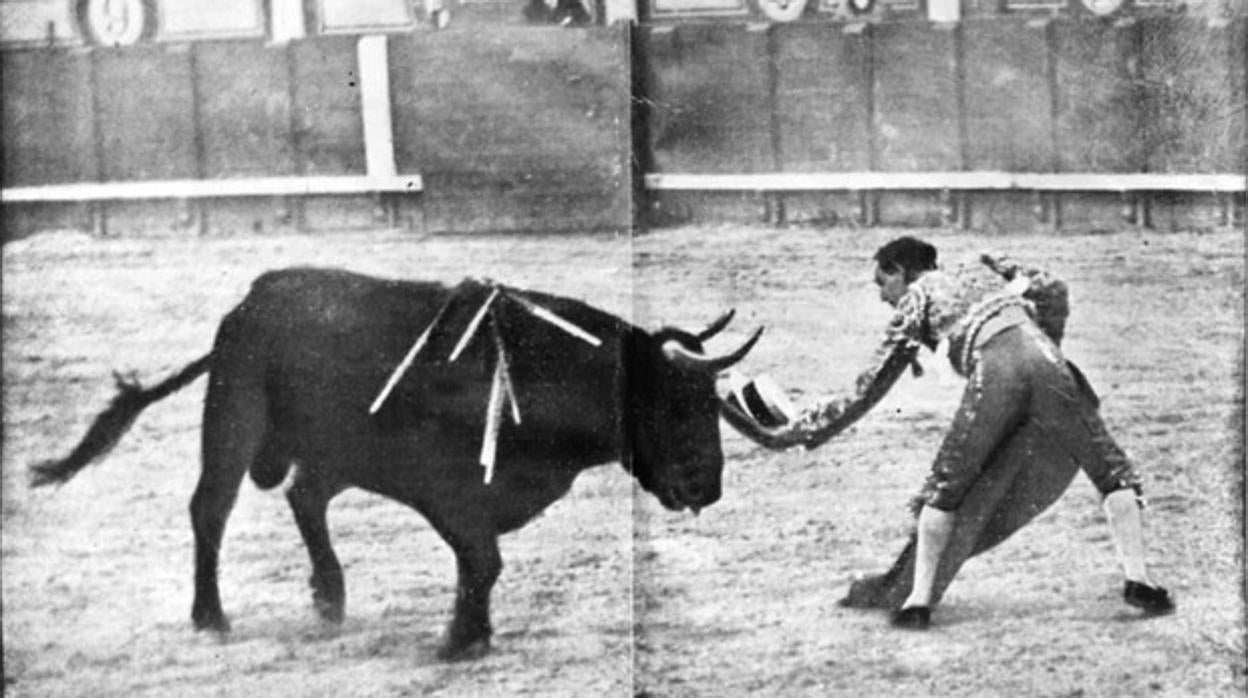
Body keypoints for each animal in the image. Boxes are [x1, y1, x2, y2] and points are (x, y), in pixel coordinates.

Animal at [31, 267, 758, 659]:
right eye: (675, 407)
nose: (709, 487)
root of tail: (248, 304)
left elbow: (481, 565)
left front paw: (472, 634)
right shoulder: (450, 493)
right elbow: (483, 561)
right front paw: (459, 640)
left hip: (331, 451)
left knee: (305, 498)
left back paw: (329, 597)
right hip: (232, 423)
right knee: (212, 509)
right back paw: (211, 617)